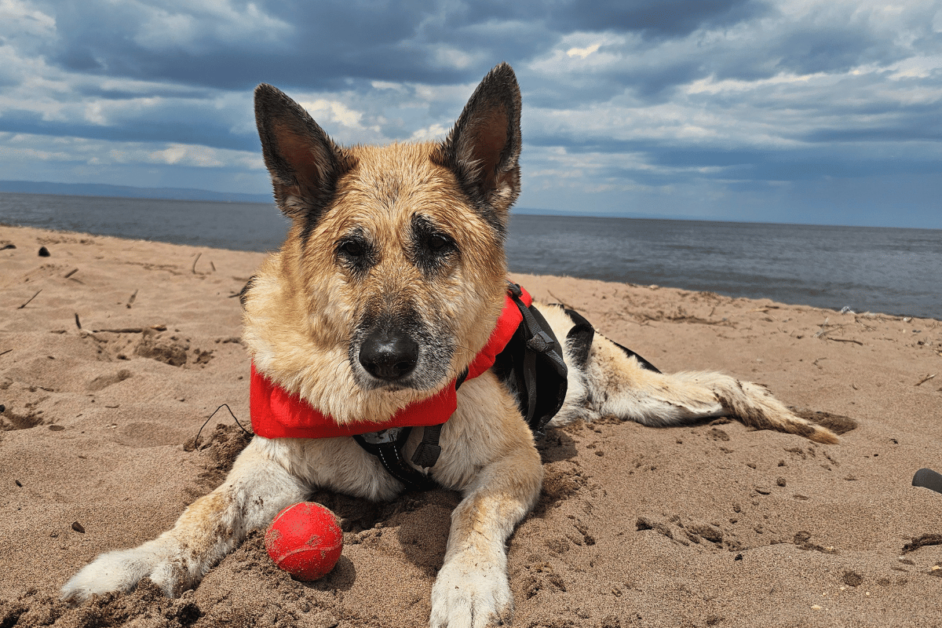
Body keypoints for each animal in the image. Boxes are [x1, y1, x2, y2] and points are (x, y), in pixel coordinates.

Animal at [60, 65, 840, 628]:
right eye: (351, 252)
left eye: (437, 245)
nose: (385, 360)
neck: (383, 416)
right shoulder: (272, 461)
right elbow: (207, 507)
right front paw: (142, 561)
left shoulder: (514, 463)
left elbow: (469, 516)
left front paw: (465, 585)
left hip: (656, 396)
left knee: (707, 388)